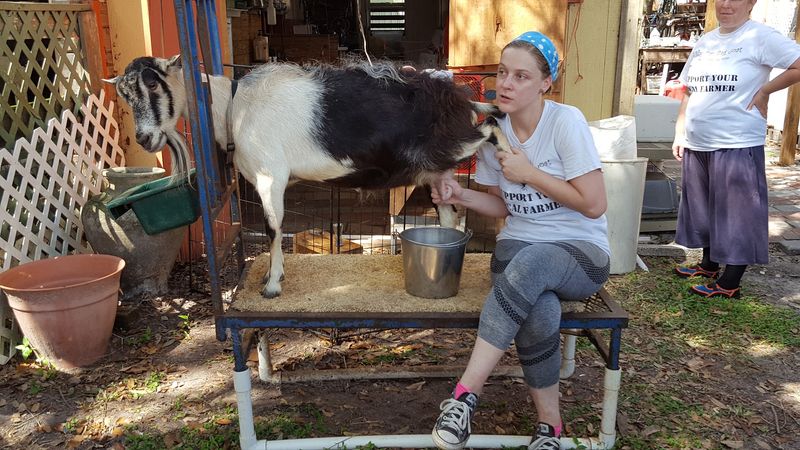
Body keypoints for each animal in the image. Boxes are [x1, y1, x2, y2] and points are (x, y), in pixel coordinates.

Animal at [106, 56, 510, 298]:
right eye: (124, 94)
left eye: (153, 84)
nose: (144, 138)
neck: (234, 107)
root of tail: (459, 96)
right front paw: (273, 278)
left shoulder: (270, 177)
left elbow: (273, 228)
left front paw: (272, 284)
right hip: (436, 166)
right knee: (449, 215)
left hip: (450, 146)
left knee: (491, 124)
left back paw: (511, 160)